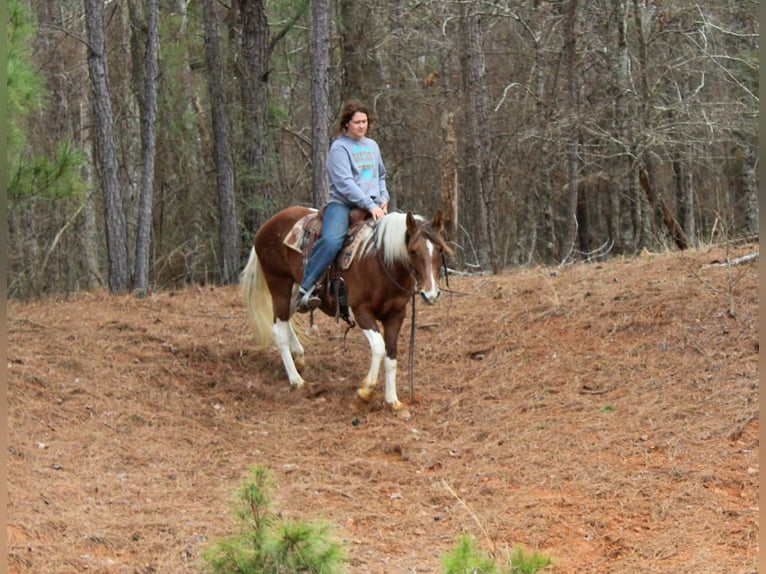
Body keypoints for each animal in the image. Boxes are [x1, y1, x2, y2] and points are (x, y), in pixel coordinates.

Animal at [240, 206, 451, 414]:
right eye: (413, 251)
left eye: (440, 249)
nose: (431, 294)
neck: (381, 264)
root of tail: (268, 224)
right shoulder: (361, 312)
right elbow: (379, 347)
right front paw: (365, 392)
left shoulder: (396, 315)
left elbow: (391, 356)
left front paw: (393, 400)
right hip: (279, 283)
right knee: (279, 329)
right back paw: (297, 380)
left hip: (293, 291)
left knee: (283, 320)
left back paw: (298, 357)